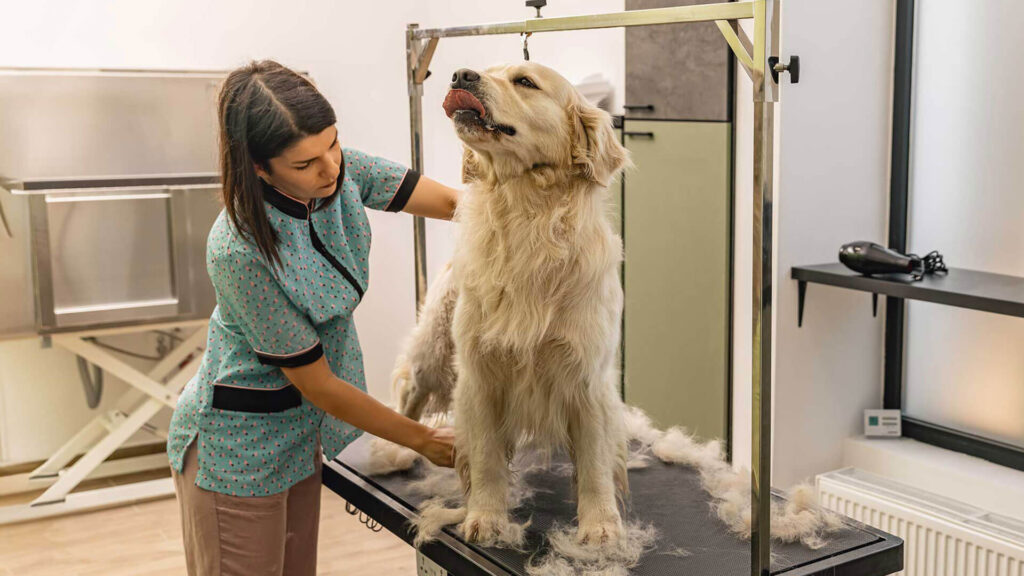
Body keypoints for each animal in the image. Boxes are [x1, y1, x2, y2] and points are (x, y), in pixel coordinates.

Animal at [394, 61, 630, 547]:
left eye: (525, 81)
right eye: (486, 71)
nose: (460, 76)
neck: (526, 213)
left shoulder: (587, 378)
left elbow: (595, 460)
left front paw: (600, 524)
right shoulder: (480, 374)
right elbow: (485, 456)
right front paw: (485, 516)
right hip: (435, 348)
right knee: (409, 390)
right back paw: (392, 449)